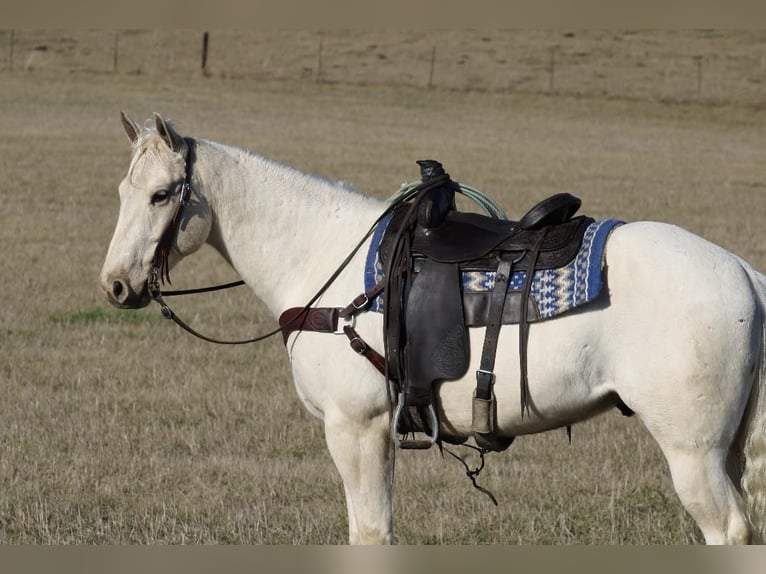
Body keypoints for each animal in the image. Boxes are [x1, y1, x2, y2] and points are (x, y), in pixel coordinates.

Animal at [99, 111, 766, 544]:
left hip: (693, 452)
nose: (115, 286)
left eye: (162, 195)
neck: (323, 254)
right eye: (123, 190)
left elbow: (370, 533)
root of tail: (744, 273)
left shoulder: (357, 428)